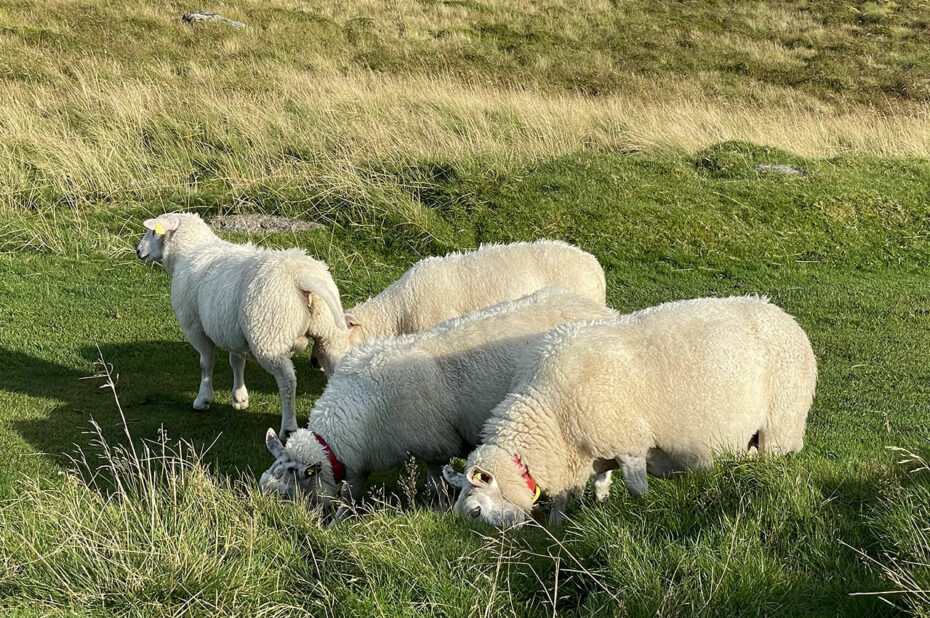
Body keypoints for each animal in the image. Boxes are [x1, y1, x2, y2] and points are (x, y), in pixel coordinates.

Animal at [136, 212, 342, 438]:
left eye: (153, 231)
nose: (138, 251)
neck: (188, 251)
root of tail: (300, 277)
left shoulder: (195, 327)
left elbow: (206, 363)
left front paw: (203, 399)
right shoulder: (232, 332)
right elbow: (236, 362)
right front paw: (239, 398)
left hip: (268, 336)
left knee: (287, 381)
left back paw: (288, 427)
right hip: (328, 333)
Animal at [258, 286, 616, 516]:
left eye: (287, 494)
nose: (277, 525)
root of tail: (602, 310)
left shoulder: (435, 444)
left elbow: (436, 485)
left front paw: (438, 507)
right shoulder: (362, 458)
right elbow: (349, 493)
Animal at [442, 294, 812, 524]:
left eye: (475, 511)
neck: (551, 416)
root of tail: (784, 315)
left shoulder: (629, 443)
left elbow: (636, 487)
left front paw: (641, 512)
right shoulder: (587, 449)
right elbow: (586, 489)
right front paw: (564, 523)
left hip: (780, 425)